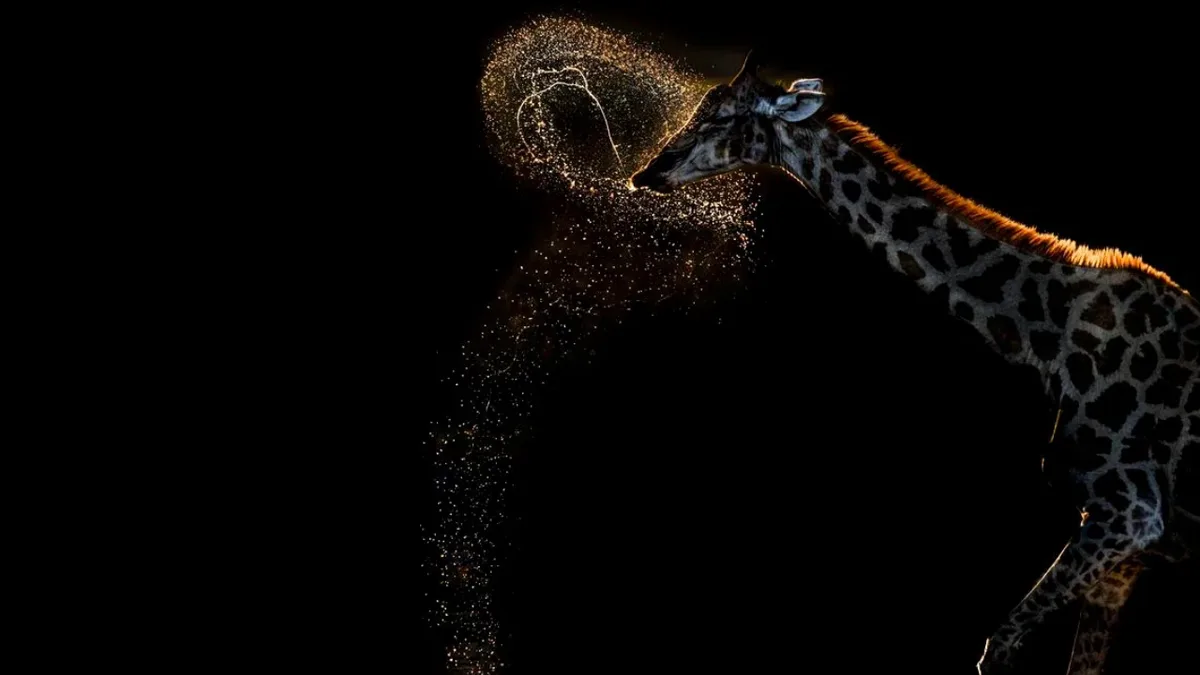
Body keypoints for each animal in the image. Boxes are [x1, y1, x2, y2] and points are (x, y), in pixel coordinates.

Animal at [630, 51, 1199, 674]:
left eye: (721, 118)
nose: (645, 173)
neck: (1047, 339)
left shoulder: (1131, 514)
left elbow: (998, 647)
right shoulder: (1123, 537)